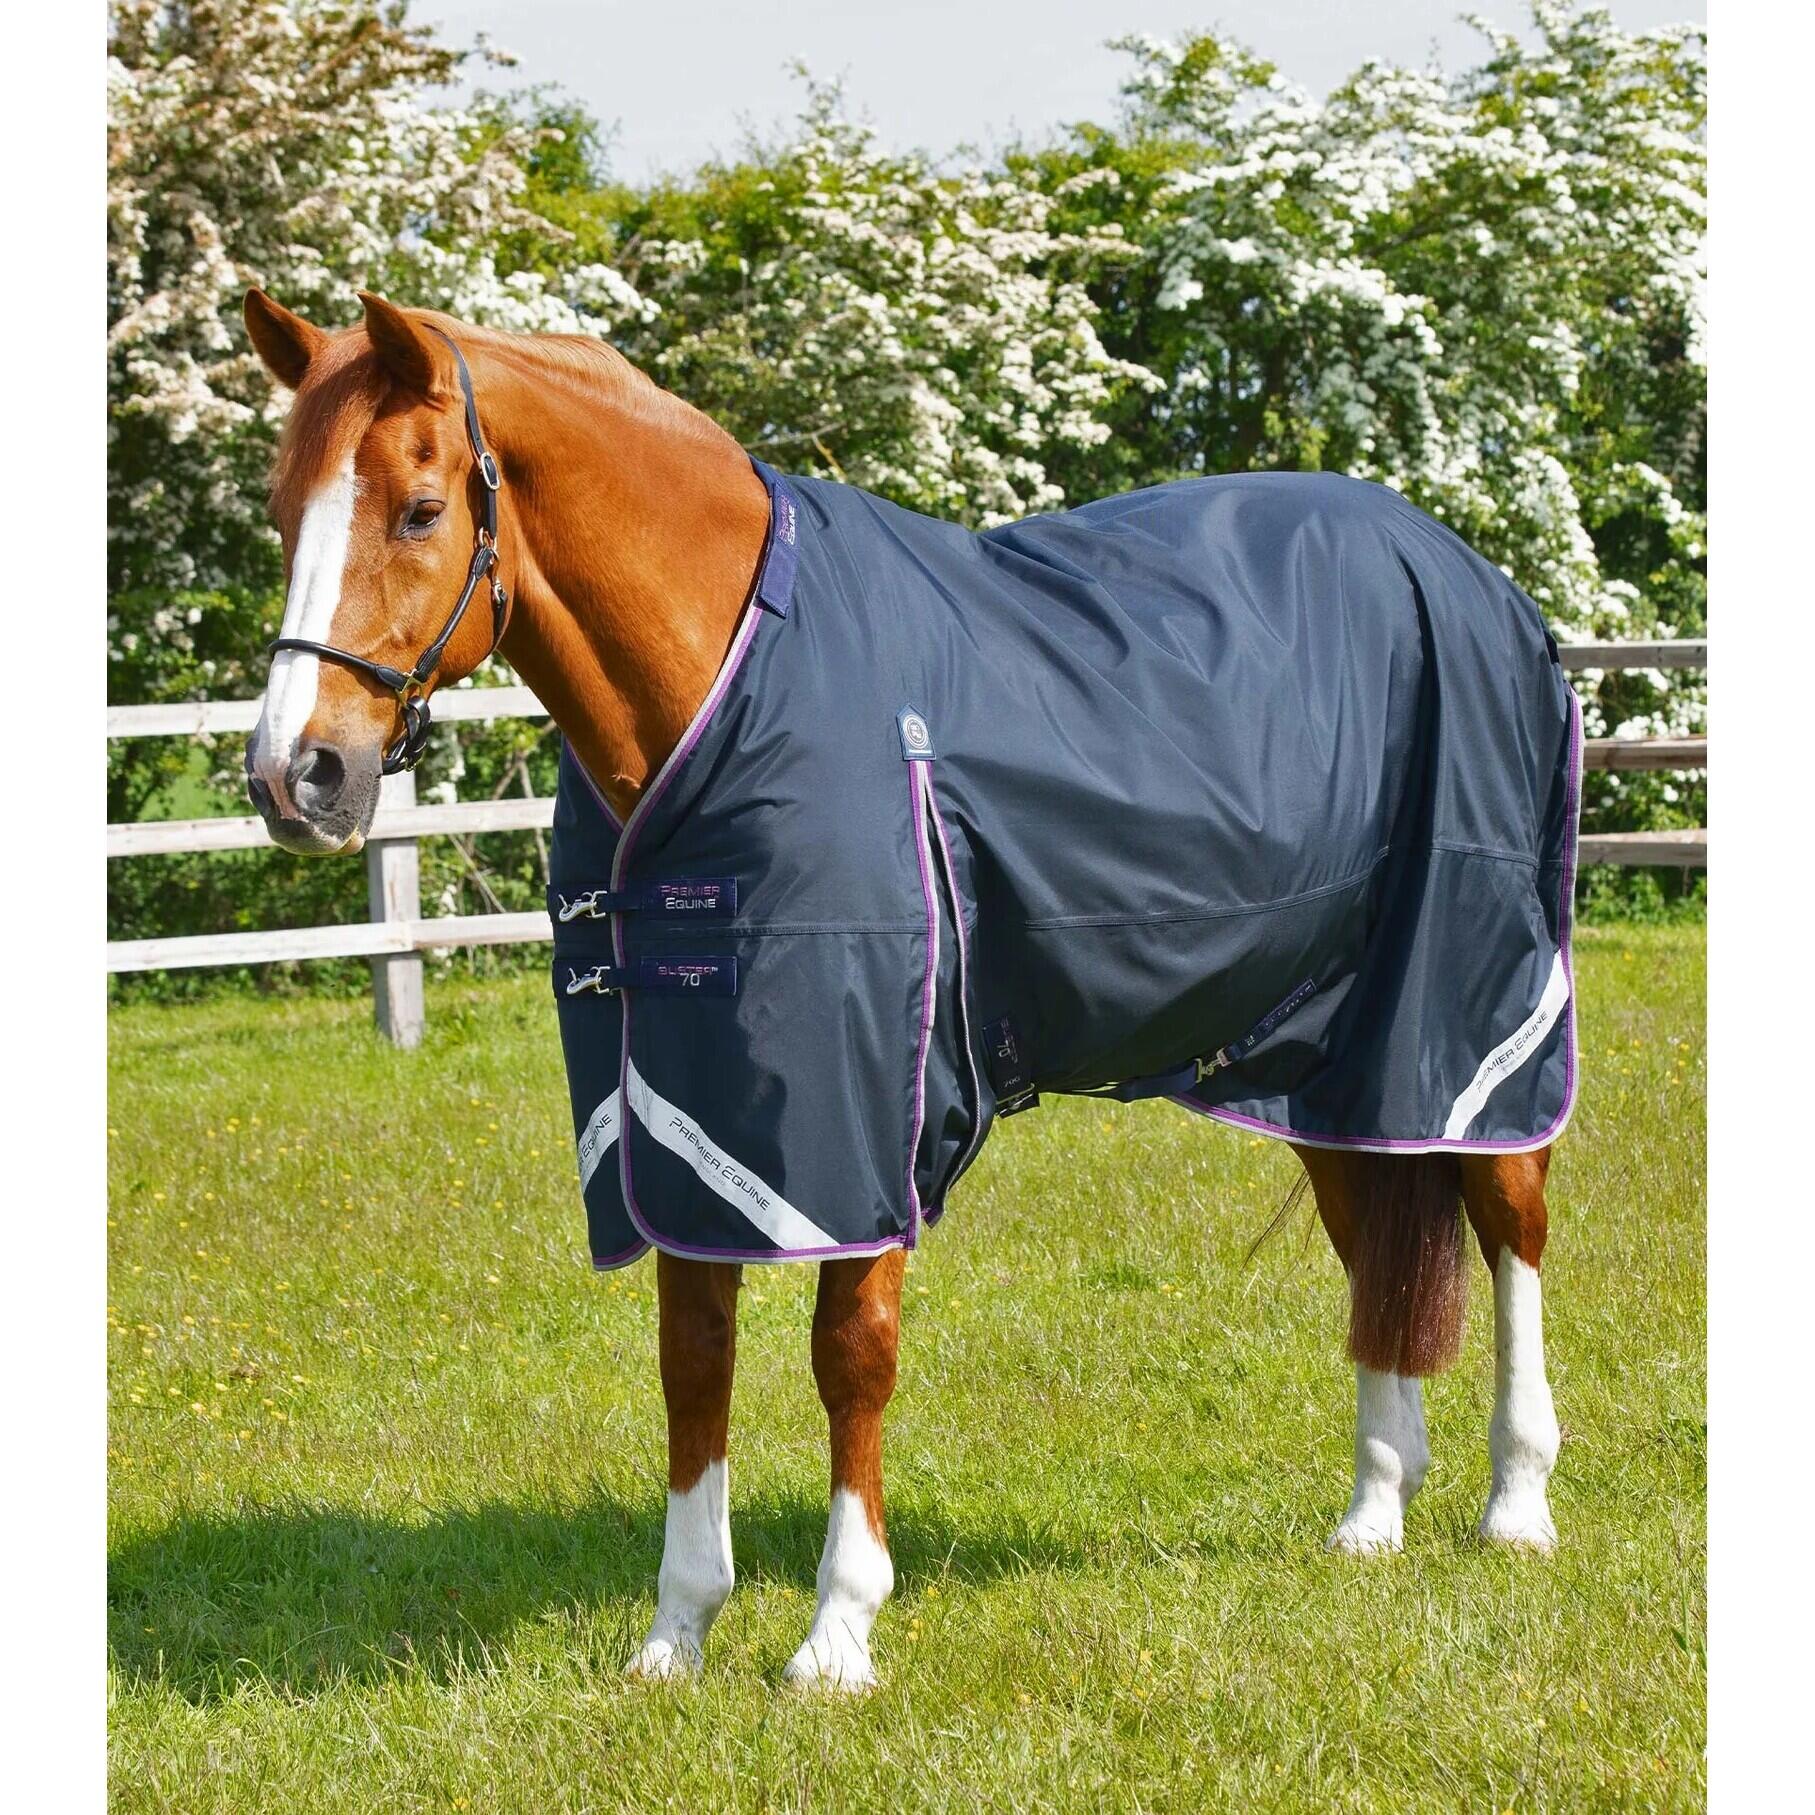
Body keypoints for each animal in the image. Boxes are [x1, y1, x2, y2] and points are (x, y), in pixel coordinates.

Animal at [241, 289, 1568, 1691]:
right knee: (1376, 1241)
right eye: (280, 514)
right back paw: (1374, 1511)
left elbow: (850, 1358)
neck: (731, 677)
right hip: (1333, 1060)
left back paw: (1516, 1503)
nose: (293, 774)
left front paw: (837, 1632)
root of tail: (1472, 576)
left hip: (1468, 1014)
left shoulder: (862, 1114)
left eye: (419, 510)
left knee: (1508, 1218)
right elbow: (693, 1361)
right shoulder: (681, 1116)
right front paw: (676, 1635)